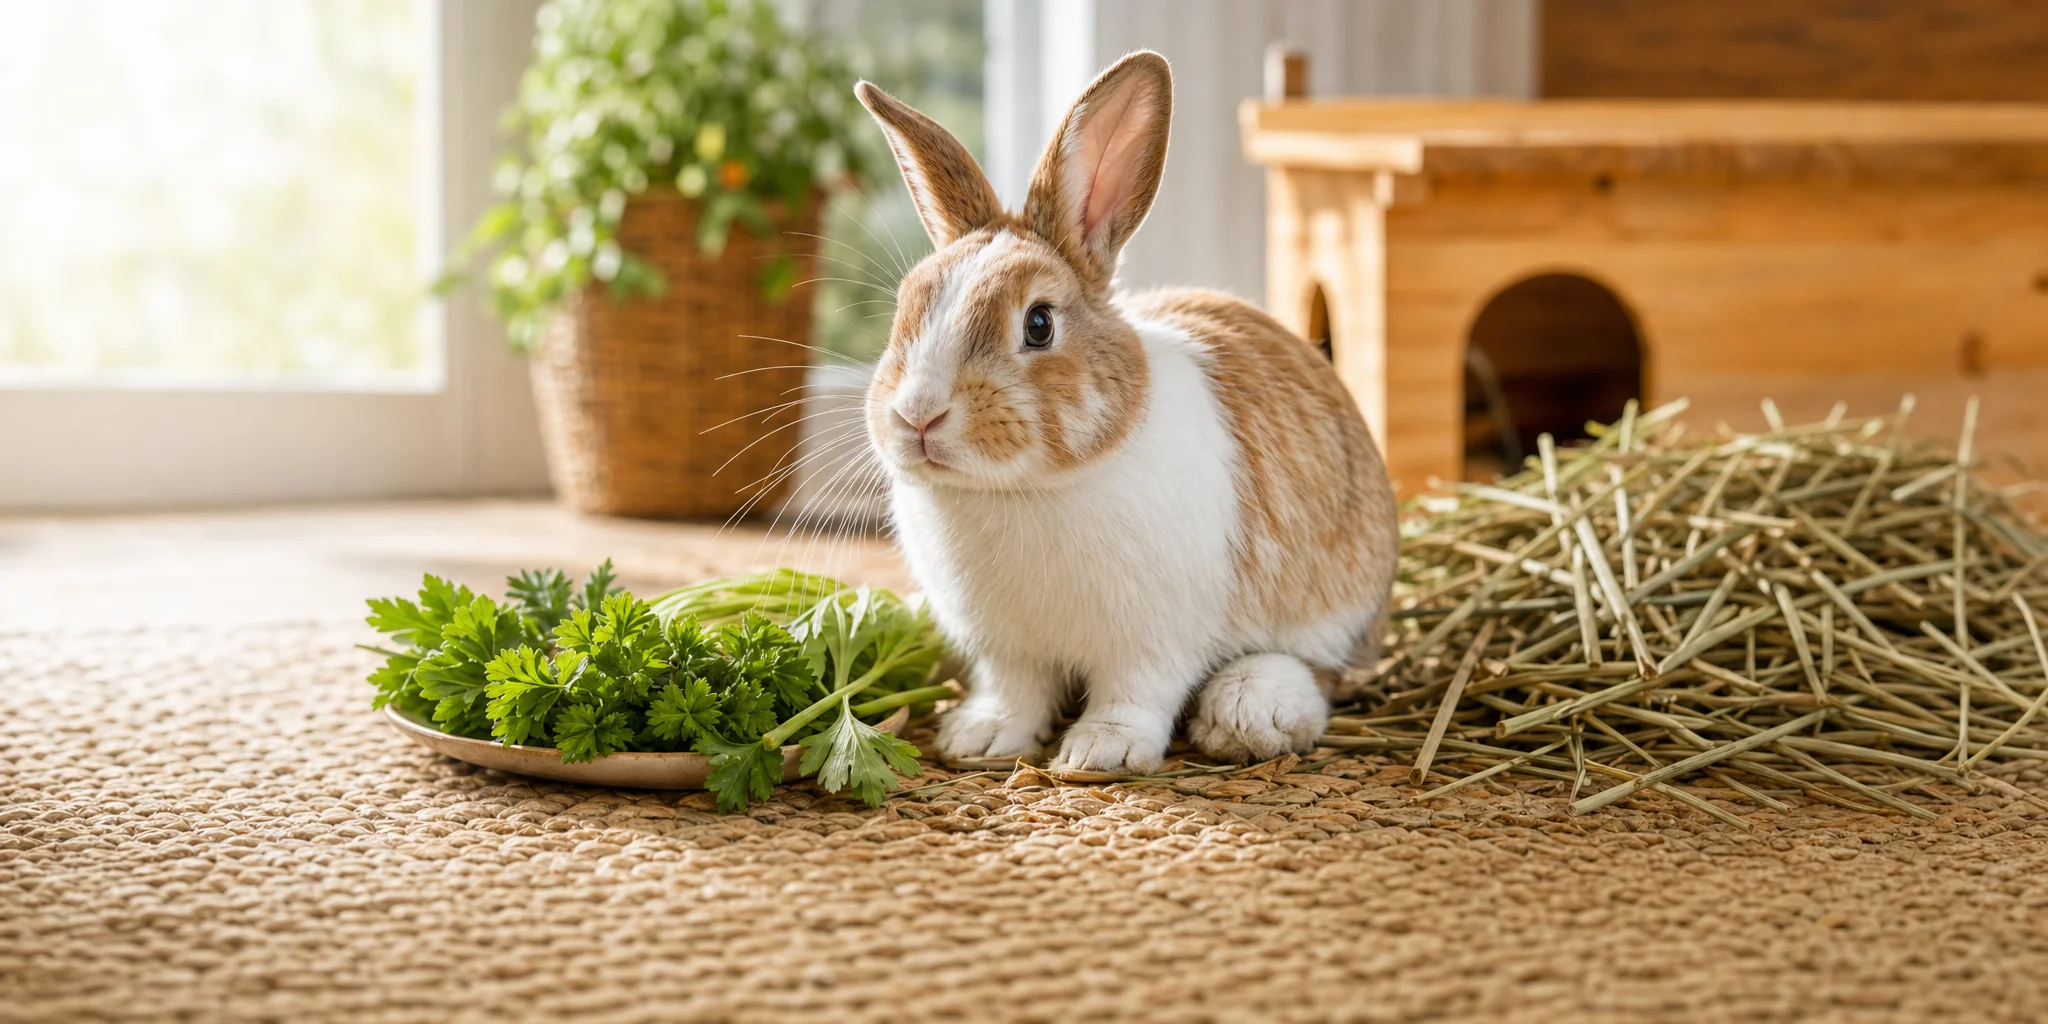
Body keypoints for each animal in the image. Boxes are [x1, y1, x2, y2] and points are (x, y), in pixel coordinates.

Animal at [852, 50, 1398, 774]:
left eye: (1038, 324)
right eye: (906, 305)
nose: (918, 416)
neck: (1022, 489)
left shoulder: (1152, 645)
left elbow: (1134, 695)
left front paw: (1099, 752)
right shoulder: (1007, 651)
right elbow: (1015, 694)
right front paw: (980, 739)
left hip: (1334, 614)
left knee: (1321, 672)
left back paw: (1248, 713)